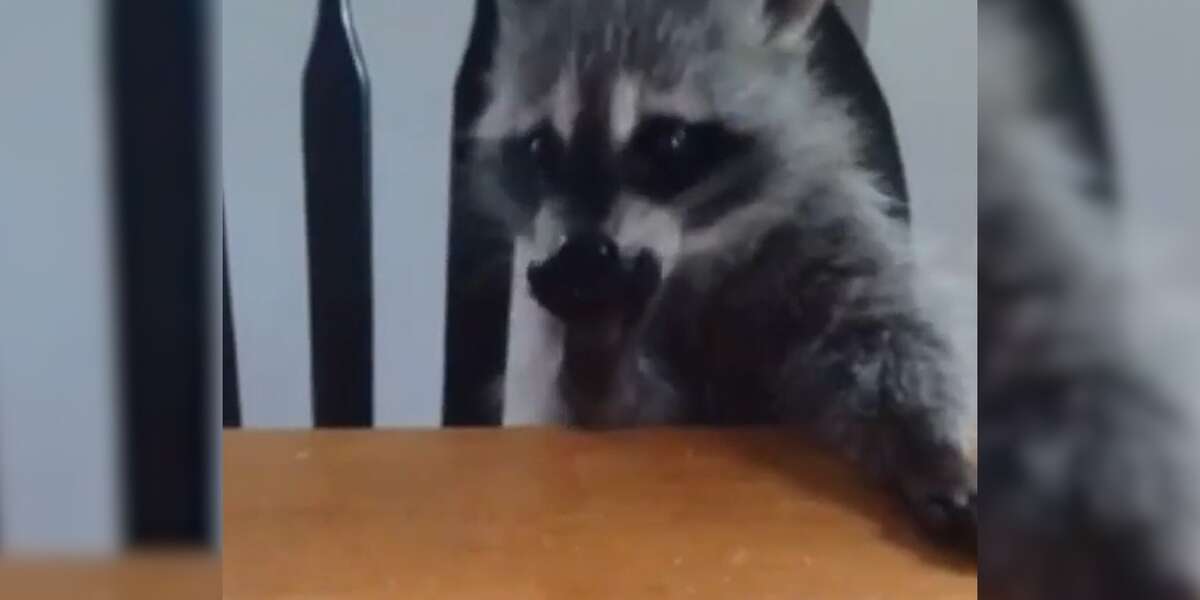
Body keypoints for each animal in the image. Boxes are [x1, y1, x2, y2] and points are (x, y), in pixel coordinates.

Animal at [461, 0, 977, 548]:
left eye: (668, 141)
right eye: (540, 148)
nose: (584, 252)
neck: (697, 253)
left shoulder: (826, 228)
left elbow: (888, 332)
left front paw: (926, 442)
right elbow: (620, 412)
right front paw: (596, 358)